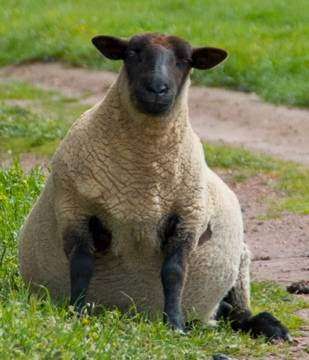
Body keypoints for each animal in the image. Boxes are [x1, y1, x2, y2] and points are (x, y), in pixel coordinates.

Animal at [18, 31, 288, 340]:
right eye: (132, 53)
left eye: (185, 60)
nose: (157, 89)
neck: (142, 174)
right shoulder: (74, 210)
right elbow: (81, 265)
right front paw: (76, 312)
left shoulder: (189, 217)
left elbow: (174, 272)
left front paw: (174, 323)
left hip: (240, 263)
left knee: (238, 312)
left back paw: (269, 326)